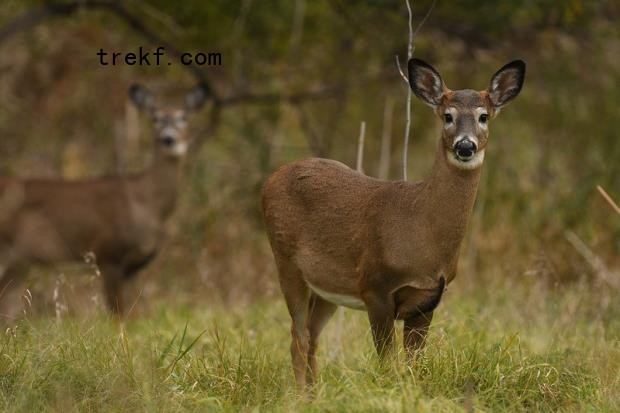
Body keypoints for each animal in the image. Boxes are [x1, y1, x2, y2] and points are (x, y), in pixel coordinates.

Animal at [0, 82, 208, 318]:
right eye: (155, 117)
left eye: (184, 117)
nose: (169, 138)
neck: (147, 202)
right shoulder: (108, 253)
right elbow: (118, 315)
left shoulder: (133, 267)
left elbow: (132, 314)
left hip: (20, 262)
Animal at [262, 58, 528, 386]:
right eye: (448, 116)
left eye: (483, 117)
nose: (465, 146)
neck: (421, 230)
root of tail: (271, 179)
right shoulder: (375, 286)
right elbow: (387, 364)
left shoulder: (427, 301)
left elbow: (415, 365)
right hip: (286, 262)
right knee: (297, 338)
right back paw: (300, 393)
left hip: (326, 286)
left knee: (311, 337)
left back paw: (315, 392)